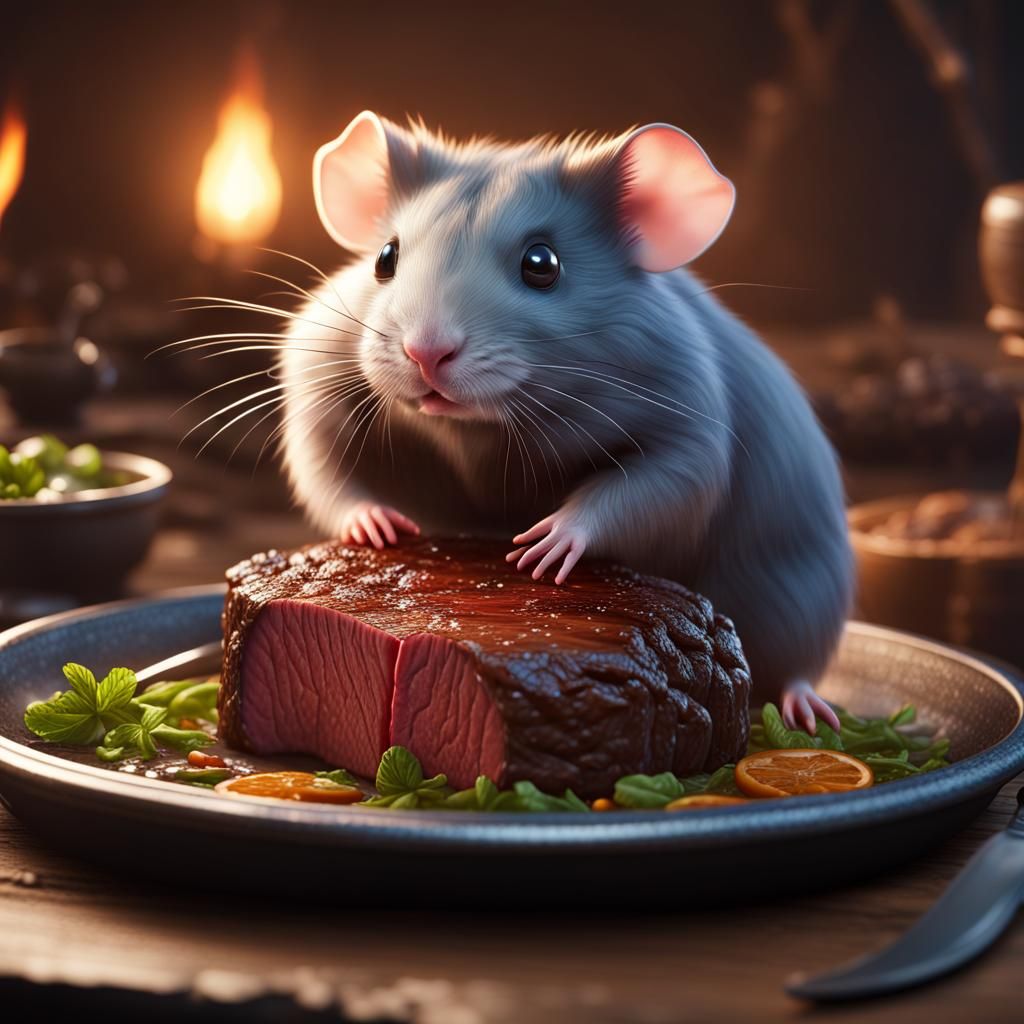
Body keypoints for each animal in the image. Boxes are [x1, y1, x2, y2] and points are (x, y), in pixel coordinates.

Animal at [276, 111, 855, 733]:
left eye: (542, 265)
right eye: (385, 257)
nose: (425, 352)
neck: (483, 427)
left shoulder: (686, 400)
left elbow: (675, 482)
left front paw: (555, 537)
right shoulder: (321, 368)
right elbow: (321, 459)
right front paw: (371, 522)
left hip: (798, 593)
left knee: (793, 657)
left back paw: (804, 705)